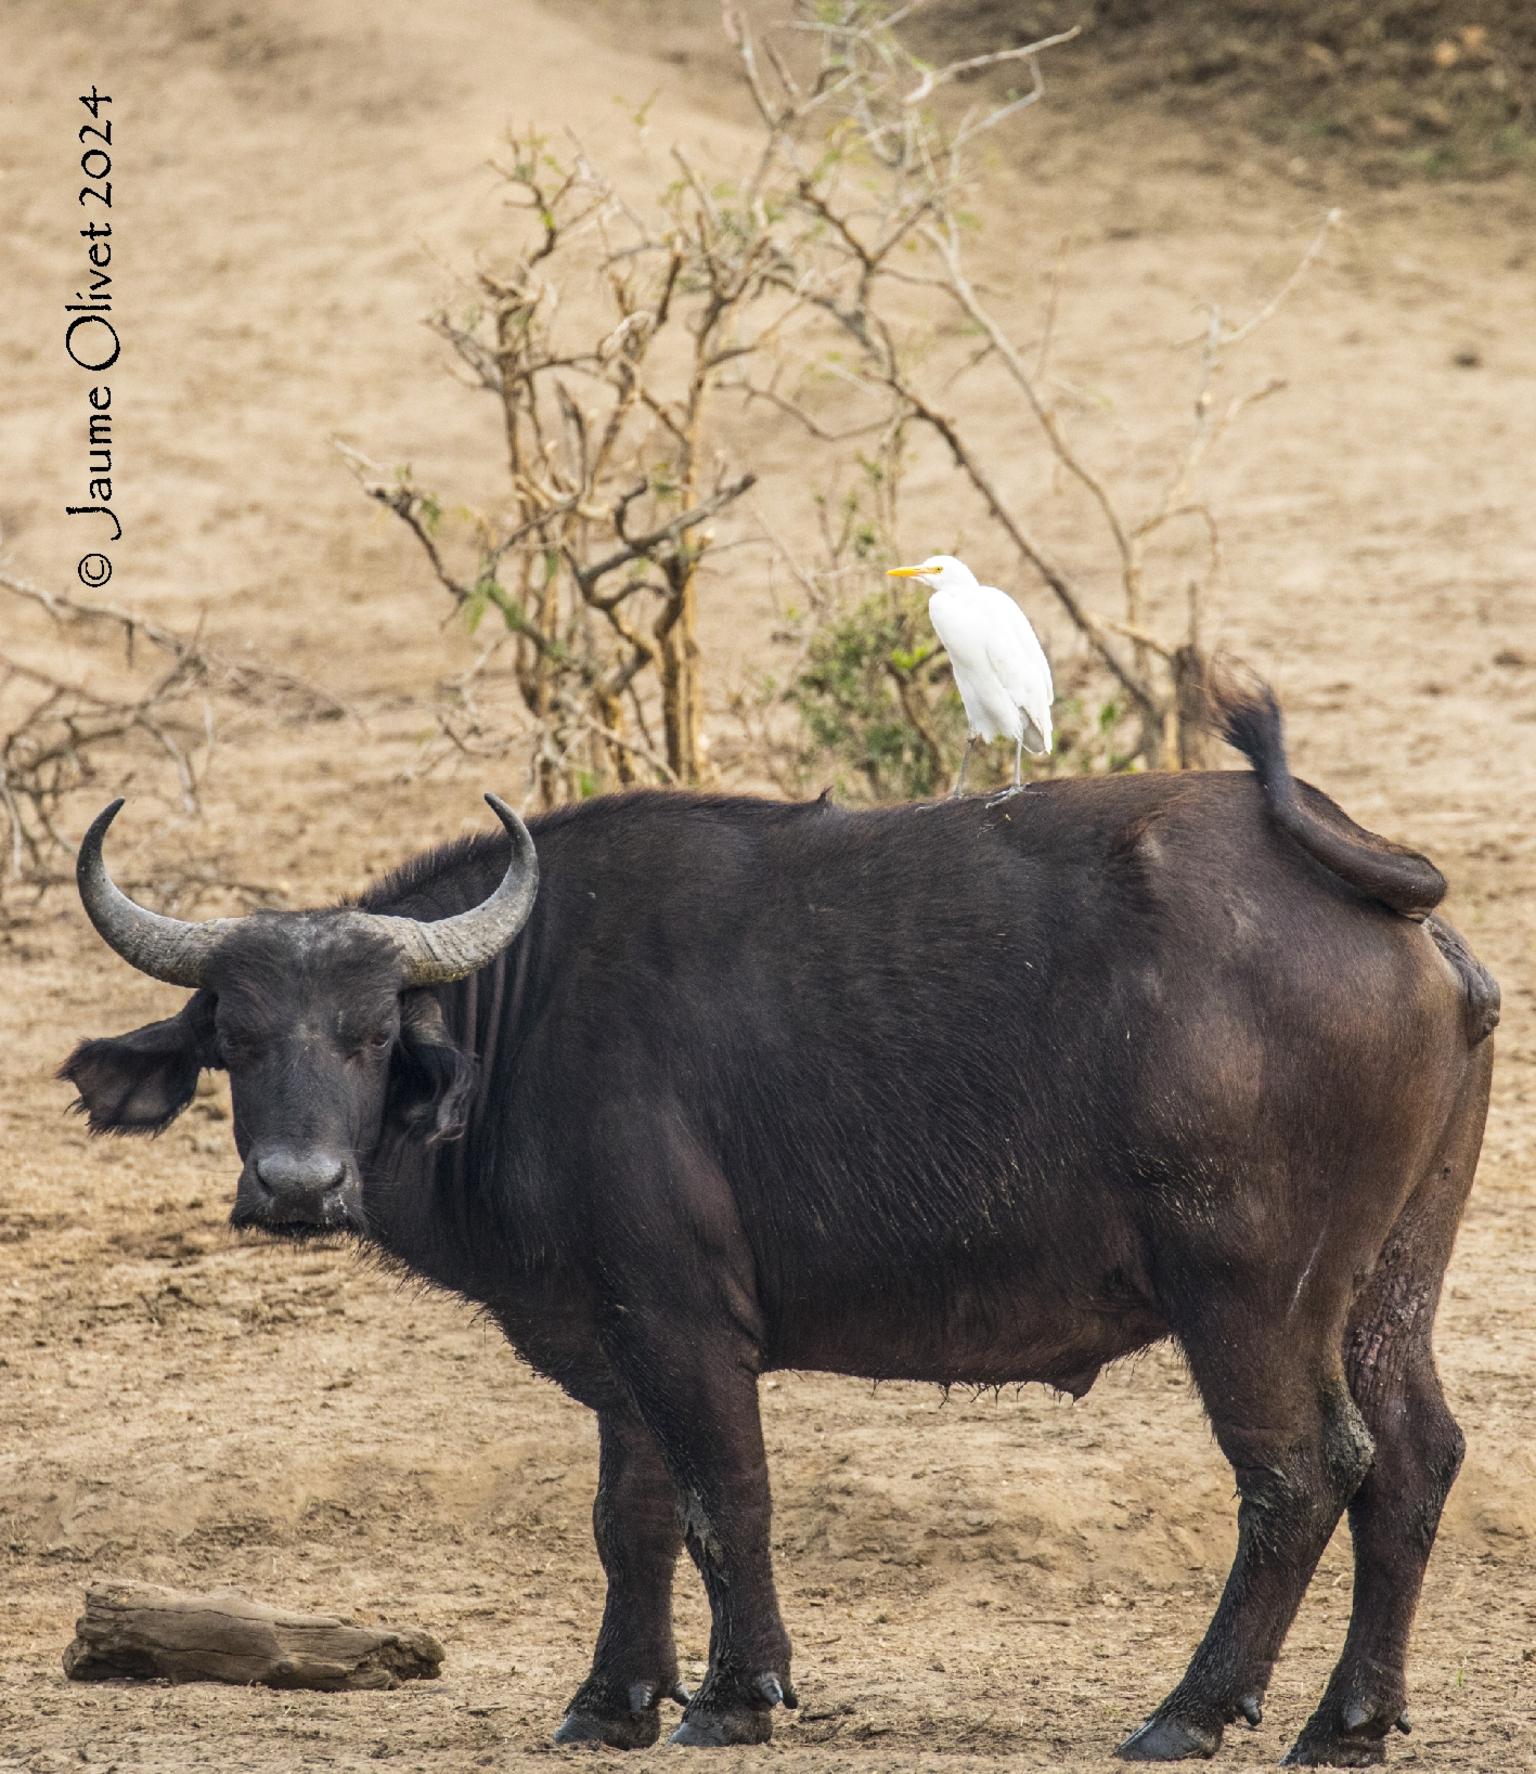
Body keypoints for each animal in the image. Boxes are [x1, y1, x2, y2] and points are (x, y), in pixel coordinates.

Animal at [65, 677, 1489, 1759]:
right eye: (238, 1037)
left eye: (370, 1034)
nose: (298, 1184)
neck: (524, 1017)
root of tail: (1387, 897)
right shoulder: (616, 1342)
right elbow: (628, 1519)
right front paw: (611, 1701)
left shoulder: (687, 1325)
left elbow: (727, 1501)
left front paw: (735, 1695)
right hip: (1387, 1283)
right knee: (1415, 1457)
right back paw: (1350, 1720)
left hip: (1246, 1293)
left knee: (1301, 1471)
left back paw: (1191, 1710)